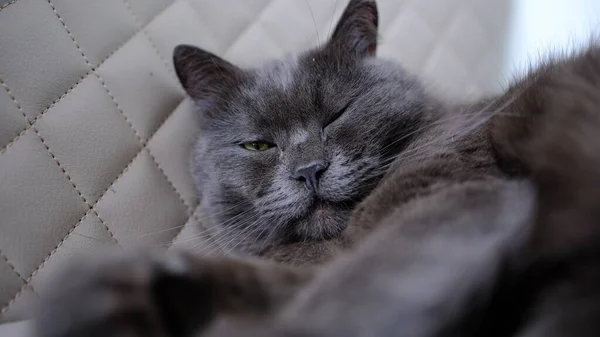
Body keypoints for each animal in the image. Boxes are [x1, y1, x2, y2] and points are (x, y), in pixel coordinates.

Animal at [35, 0, 600, 336]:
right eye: (258, 145)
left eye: (338, 114)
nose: (309, 170)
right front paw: (101, 296)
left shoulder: (458, 198)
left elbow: (360, 294)